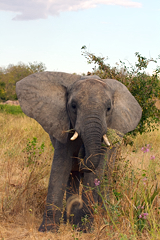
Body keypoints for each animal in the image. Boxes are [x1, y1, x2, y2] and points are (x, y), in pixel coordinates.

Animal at [15, 72, 141, 232]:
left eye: (108, 108)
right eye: (73, 106)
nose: (82, 152)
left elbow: (95, 172)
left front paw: (86, 228)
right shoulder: (63, 125)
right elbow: (60, 167)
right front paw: (48, 230)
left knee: (105, 176)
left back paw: (103, 217)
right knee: (73, 176)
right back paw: (71, 219)